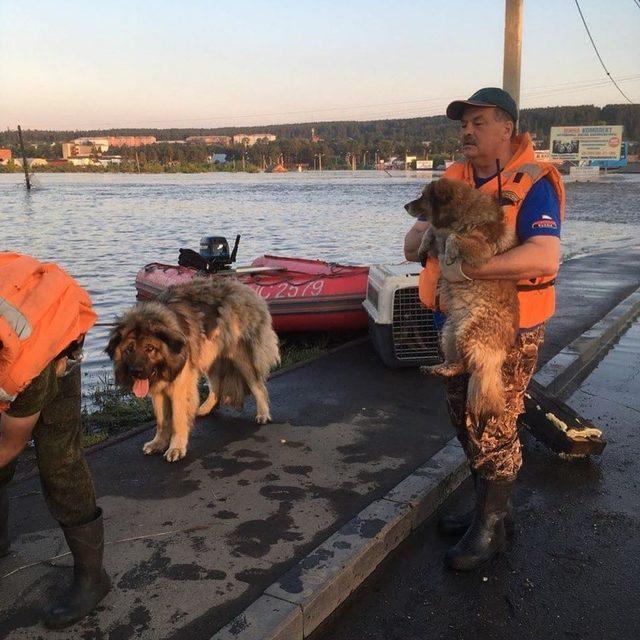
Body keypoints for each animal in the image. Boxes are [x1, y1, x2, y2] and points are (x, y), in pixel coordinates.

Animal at [105, 278, 280, 462]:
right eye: (129, 349)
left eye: (150, 348)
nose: (136, 371)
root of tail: (245, 289)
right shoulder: (159, 391)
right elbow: (162, 420)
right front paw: (158, 443)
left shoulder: (180, 387)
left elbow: (177, 420)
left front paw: (176, 448)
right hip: (210, 356)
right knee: (216, 386)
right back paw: (205, 408)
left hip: (241, 357)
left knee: (257, 386)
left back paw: (263, 413)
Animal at [404, 179, 520, 420]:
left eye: (424, 197)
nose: (405, 206)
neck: (464, 215)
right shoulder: (437, 237)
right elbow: (431, 231)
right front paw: (423, 245)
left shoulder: (481, 249)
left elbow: (454, 238)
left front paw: (450, 253)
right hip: (448, 333)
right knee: (454, 363)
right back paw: (436, 368)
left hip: (469, 335)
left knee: (467, 367)